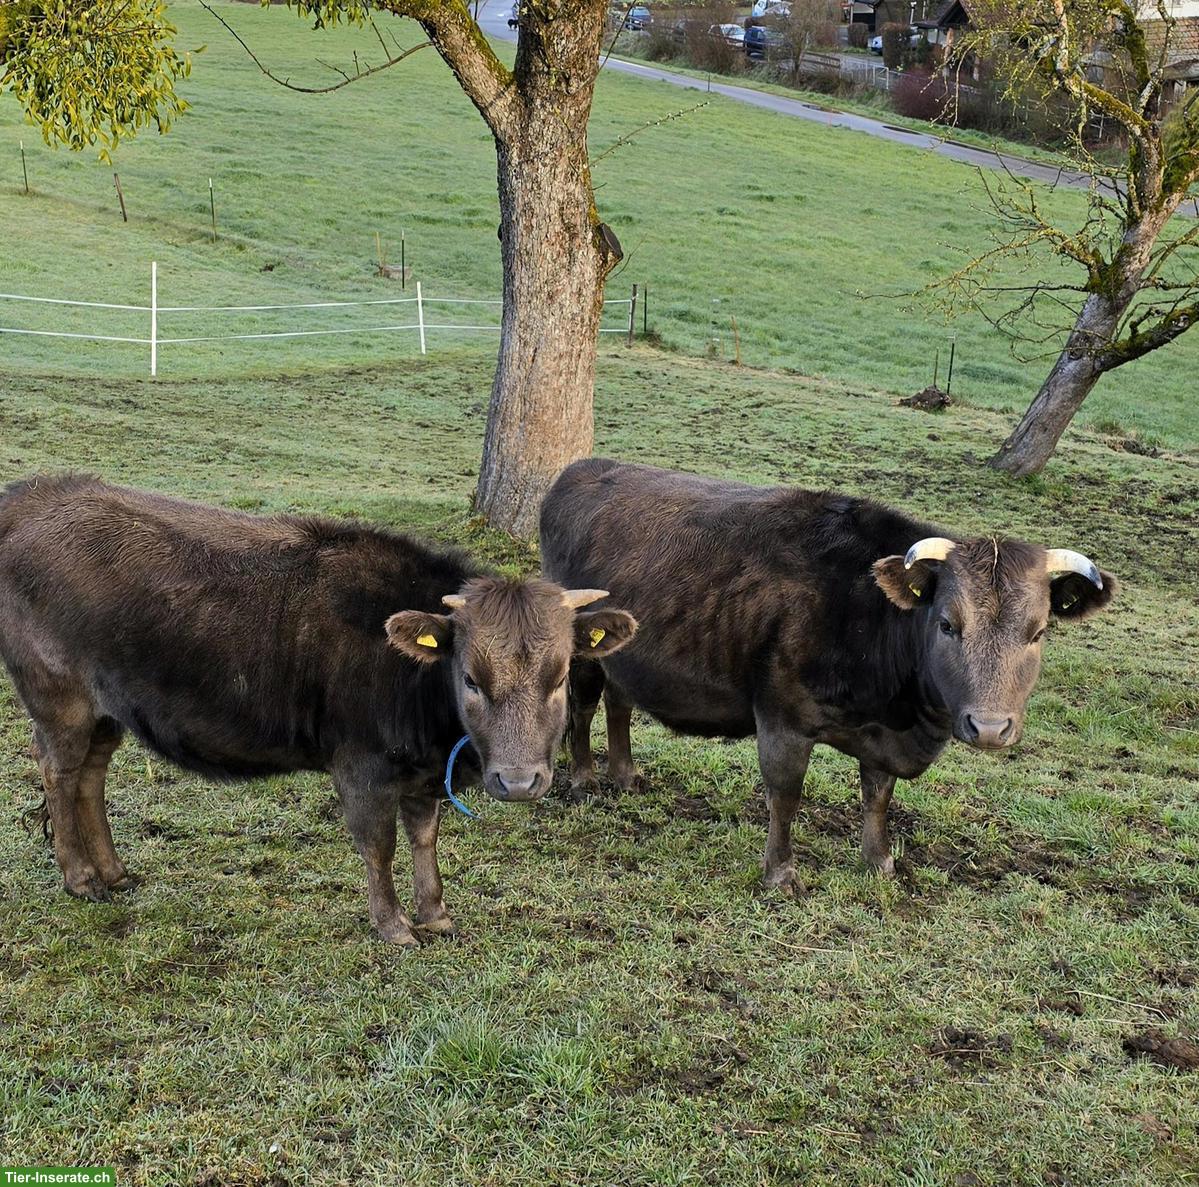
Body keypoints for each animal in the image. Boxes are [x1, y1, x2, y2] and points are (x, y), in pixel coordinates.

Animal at [0, 475, 637, 945]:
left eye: (559, 677)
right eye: (471, 679)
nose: (520, 782)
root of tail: (33, 493)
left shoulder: (423, 771)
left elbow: (424, 835)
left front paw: (436, 914)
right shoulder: (360, 764)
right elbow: (378, 843)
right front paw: (395, 926)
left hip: (107, 710)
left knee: (91, 774)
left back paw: (113, 871)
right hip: (58, 698)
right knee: (59, 772)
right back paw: (80, 878)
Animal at [540, 459, 1116, 892]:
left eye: (1038, 632)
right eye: (948, 624)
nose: (990, 728)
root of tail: (584, 468)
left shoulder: (884, 736)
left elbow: (878, 795)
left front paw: (879, 861)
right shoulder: (782, 720)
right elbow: (785, 795)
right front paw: (781, 874)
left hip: (628, 655)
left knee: (619, 701)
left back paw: (626, 775)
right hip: (584, 647)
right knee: (584, 705)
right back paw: (586, 779)